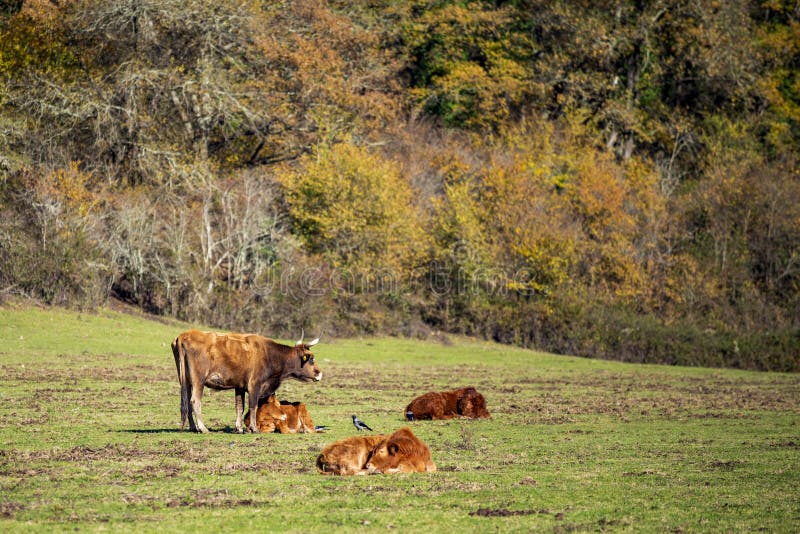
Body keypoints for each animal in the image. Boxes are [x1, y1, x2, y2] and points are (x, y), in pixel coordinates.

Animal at [171, 330, 322, 436]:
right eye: (311, 358)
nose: (319, 373)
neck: (270, 354)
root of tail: (184, 335)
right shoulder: (254, 385)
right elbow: (253, 406)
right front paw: (253, 428)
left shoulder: (239, 387)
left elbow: (239, 407)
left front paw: (238, 428)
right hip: (199, 381)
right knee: (195, 401)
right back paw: (202, 428)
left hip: (186, 382)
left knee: (187, 403)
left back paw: (193, 427)